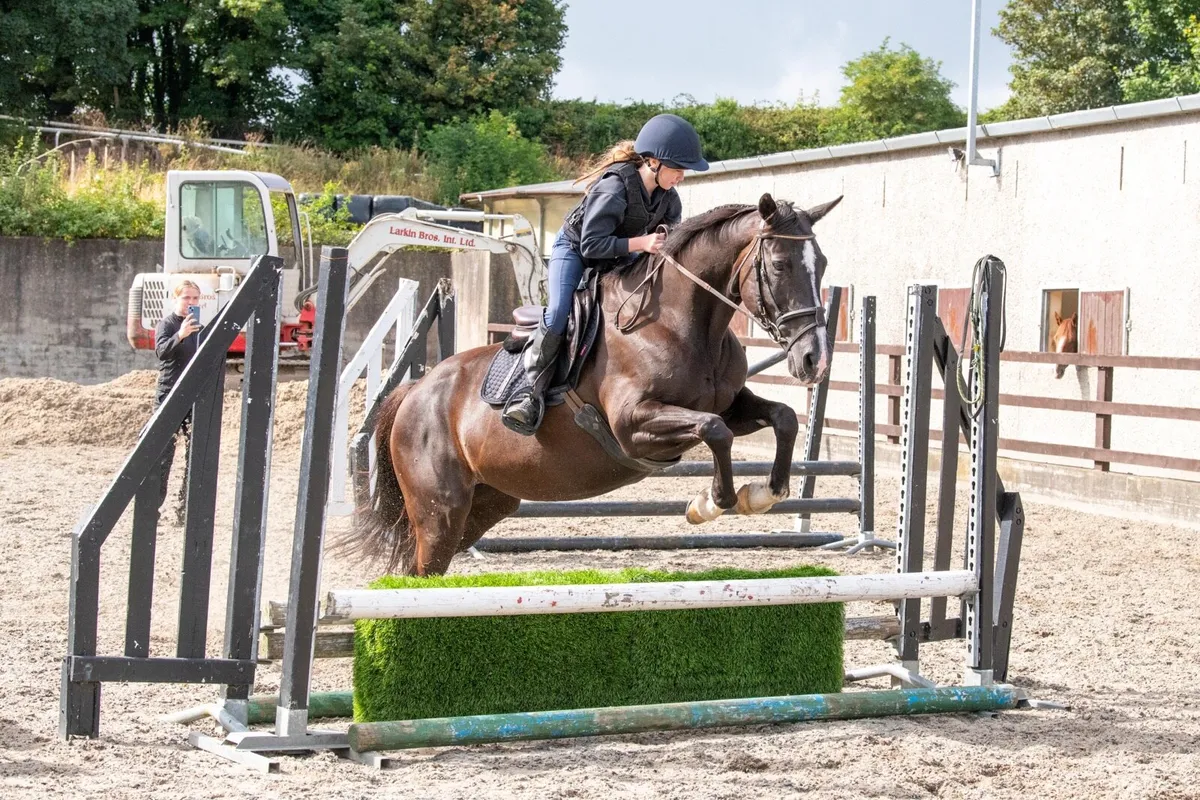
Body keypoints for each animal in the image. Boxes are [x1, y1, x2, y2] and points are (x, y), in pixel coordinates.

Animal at [342, 193, 842, 576]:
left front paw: (764, 494)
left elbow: (783, 418)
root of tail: (414, 391)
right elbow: (713, 431)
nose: (813, 358)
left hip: (485, 504)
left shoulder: (732, 404)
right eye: (778, 265)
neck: (684, 324)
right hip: (438, 512)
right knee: (422, 569)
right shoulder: (634, 425)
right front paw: (710, 503)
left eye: (822, 263)